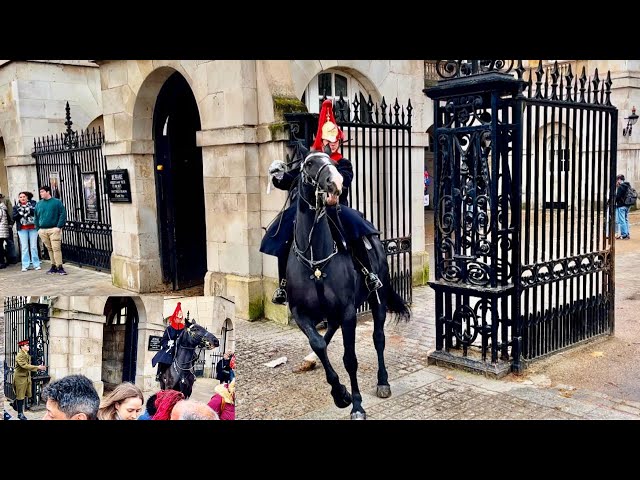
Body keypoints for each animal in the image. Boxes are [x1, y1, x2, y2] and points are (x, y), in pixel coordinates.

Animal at [284, 151, 410, 420]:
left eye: (334, 162)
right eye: (309, 164)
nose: (335, 184)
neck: (316, 261)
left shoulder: (349, 312)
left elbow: (350, 358)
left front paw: (356, 404)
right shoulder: (300, 313)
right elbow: (318, 343)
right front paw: (339, 393)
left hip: (377, 298)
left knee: (378, 337)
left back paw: (383, 381)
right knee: (328, 333)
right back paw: (312, 360)